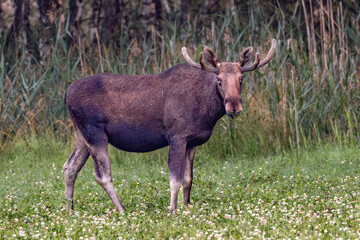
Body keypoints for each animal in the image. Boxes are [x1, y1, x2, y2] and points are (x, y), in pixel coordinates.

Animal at [63, 39, 278, 214]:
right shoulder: (177, 136)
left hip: (81, 134)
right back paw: (122, 209)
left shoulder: (193, 141)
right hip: (94, 132)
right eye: (219, 80)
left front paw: (186, 206)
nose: (233, 106)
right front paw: (173, 210)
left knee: (69, 167)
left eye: (241, 79)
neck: (207, 111)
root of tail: (66, 94)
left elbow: (188, 179)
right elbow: (174, 179)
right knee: (103, 175)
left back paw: (70, 210)